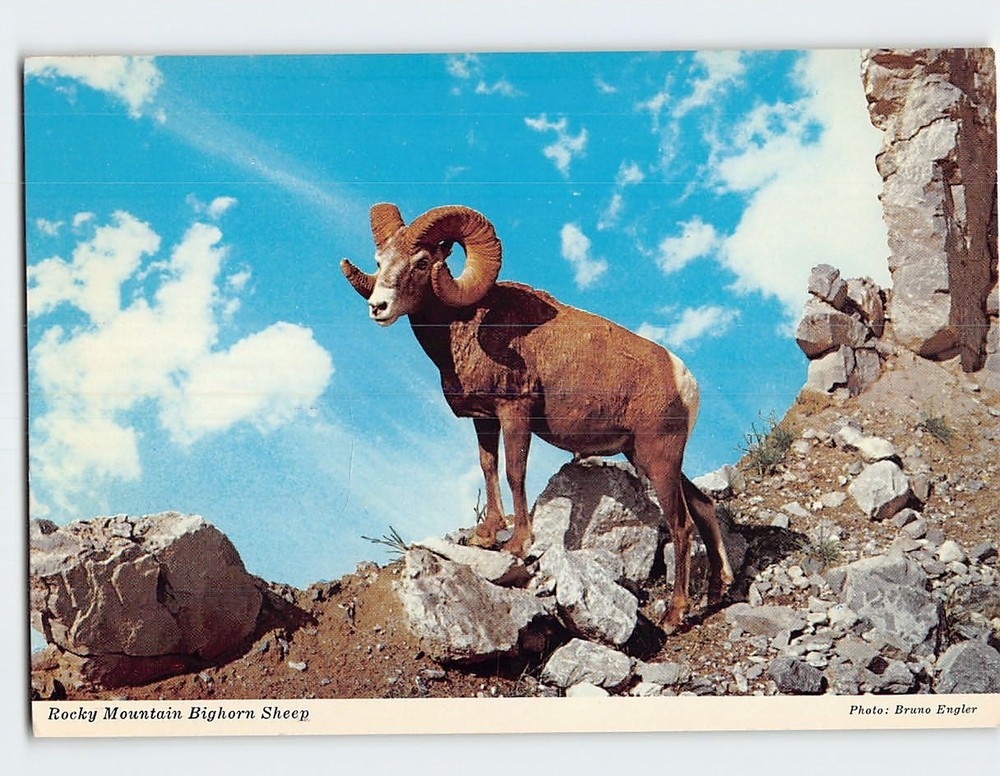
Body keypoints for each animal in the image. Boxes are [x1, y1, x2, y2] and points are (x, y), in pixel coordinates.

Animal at [340, 203, 733, 625]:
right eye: (380, 261)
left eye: (422, 262)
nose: (378, 307)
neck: (468, 326)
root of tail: (683, 380)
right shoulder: (485, 418)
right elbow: (488, 466)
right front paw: (486, 534)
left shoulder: (515, 413)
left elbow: (515, 471)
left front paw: (516, 543)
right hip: (650, 459)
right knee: (704, 507)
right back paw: (718, 590)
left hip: (659, 460)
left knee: (681, 525)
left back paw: (674, 616)